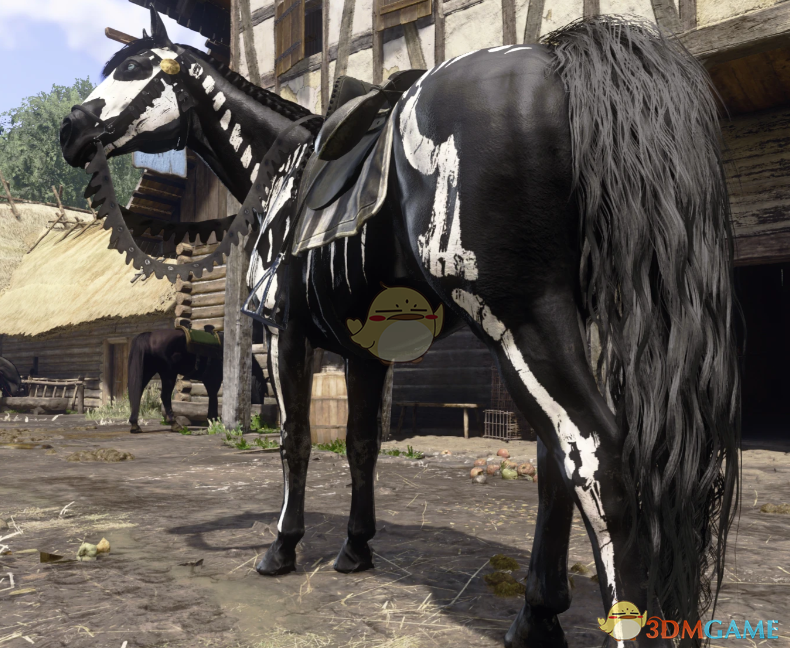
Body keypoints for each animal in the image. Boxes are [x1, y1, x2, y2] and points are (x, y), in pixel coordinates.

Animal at [60, 9, 740, 646]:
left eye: (134, 69)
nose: (72, 130)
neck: (281, 172)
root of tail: (554, 67)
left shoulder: (284, 333)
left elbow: (295, 442)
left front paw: (282, 547)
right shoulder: (365, 352)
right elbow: (361, 445)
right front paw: (355, 548)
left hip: (520, 322)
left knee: (598, 455)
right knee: (557, 462)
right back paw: (535, 615)